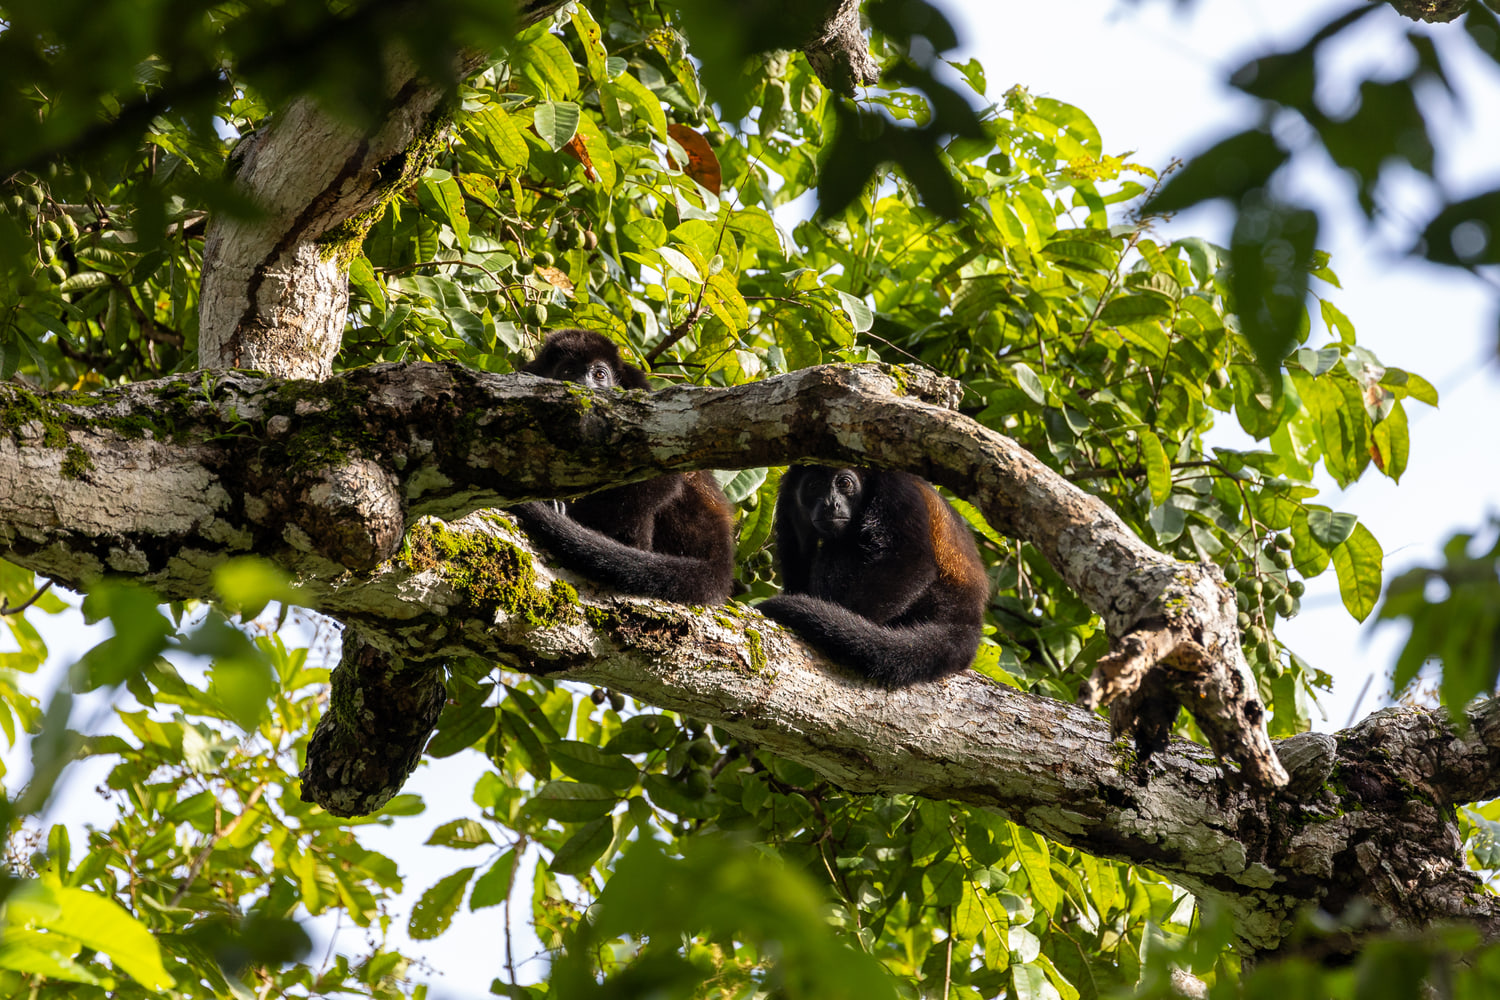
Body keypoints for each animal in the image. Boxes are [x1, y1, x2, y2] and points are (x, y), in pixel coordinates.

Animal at [757, 465, 988, 686]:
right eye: (814, 485)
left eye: (844, 483)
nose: (831, 504)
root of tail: (969, 617)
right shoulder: (787, 495)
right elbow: (798, 553)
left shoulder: (896, 487)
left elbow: (911, 558)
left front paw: (841, 626)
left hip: (937, 600)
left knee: (840, 548)